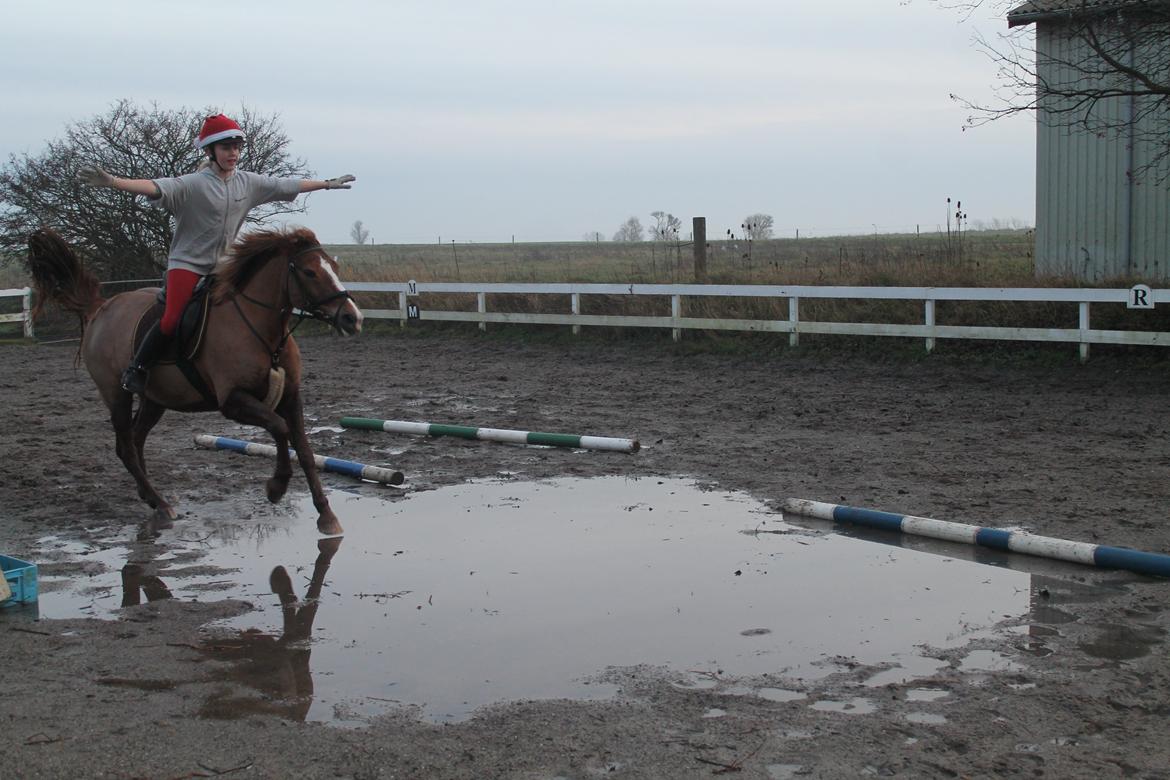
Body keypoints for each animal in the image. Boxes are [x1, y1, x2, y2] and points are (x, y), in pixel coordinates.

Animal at [28, 229, 365, 540]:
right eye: (309, 272)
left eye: (334, 266)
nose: (353, 319)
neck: (263, 331)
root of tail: (101, 307)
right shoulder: (233, 402)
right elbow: (279, 428)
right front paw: (276, 487)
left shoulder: (291, 396)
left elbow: (305, 451)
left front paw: (326, 515)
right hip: (116, 395)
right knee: (125, 446)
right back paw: (161, 504)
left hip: (154, 400)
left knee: (136, 440)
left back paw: (149, 496)